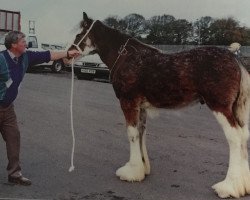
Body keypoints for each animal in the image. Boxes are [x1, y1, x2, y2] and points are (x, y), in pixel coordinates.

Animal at [68, 12, 250, 198]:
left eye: (79, 34)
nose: (68, 54)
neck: (127, 57)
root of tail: (234, 58)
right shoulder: (141, 108)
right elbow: (141, 133)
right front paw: (142, 168)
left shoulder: (128, 102)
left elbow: (132, 134)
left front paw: (131, 172)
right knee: (243, 136)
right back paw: (242, 185)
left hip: (220, 107)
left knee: (234, 138)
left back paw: (228, 187)